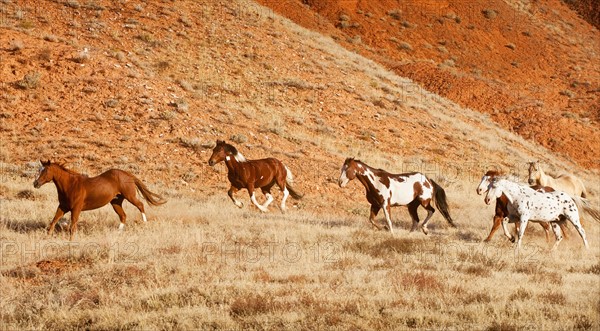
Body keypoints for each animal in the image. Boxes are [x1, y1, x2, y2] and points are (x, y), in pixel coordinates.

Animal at [33, 161, 165, 241]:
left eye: (45, 171)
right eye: (39, 169)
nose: (35, 183)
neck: (70, 185)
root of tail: (128, 175)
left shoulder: (76, 209)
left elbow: (72, 226)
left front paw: (71, 241)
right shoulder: (63, 207)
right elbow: (53, 221)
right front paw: (46, 237)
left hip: (130, 196)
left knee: (140, 205)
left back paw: (144, 223)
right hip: (116, 202)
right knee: (123, 215)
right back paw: (118, 233)